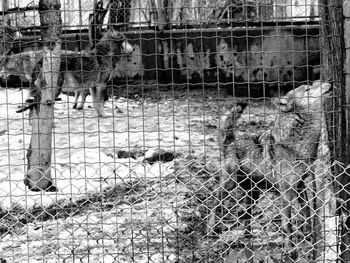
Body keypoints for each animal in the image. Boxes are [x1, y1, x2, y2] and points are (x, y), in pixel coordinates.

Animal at [209, 81, 332, 258]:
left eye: (315, 83)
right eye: (308, 88)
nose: (330, 82)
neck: (297, 147)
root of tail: (230, 141)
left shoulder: (300, 186)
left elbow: (307, 212)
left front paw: (308, 235)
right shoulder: (286, 192)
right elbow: (288, 225)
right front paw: (290, 250)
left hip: (253, 194)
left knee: (245, 214)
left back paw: (248, 236)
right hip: (229, 185)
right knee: (214, 201)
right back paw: (211, 230)